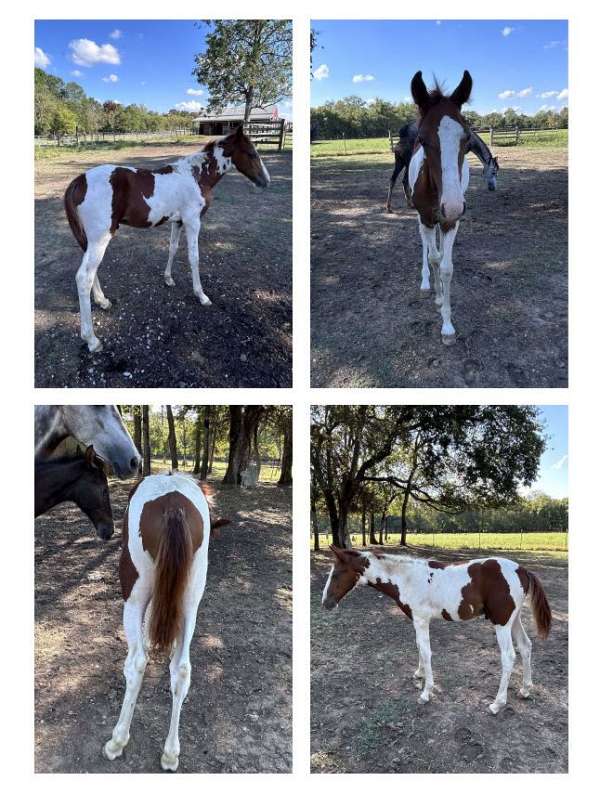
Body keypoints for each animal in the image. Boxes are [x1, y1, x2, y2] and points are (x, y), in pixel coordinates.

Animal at [63, 126, 270, 350]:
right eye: (251, 153)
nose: (266, 181)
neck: (196, 177)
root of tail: (79, 180)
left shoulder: (177, 222)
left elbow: (173, 247)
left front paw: (168, 278)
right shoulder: (193, 221)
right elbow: (194, 258)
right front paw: (201, 295)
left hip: (89, 240)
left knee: (91, 273)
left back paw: (102, 301)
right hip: (101, 238)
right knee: (84, 277)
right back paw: (92, 339)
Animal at [102, 470, 226, 768]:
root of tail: (173, 505)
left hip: (133, 595)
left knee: (137, 662)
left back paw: (117, 740)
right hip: (190, 601)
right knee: (181, 669)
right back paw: (170, 753)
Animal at [322, 544, 552, 712]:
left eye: (336, 574)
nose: (326, 603)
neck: (407, 578)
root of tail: (522, 570)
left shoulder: (421, 620)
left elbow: (426, 651)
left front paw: (426, 693)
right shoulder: (417, 621)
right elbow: (419, 647)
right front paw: (419, 674)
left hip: (502, 623)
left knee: (509, 656)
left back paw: (497, 703)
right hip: (514, 620)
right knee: (526, 646)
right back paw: (525, 689)